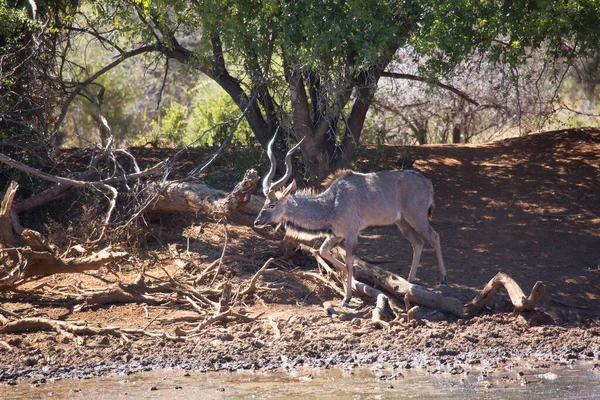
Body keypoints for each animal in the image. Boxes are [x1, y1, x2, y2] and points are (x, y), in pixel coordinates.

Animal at [253, 134, 446, 306]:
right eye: (265, 203)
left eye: (271, 205)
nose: (257, 222)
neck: (331, 203)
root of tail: (427, 183)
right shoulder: (336, 235)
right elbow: (324, 252)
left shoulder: (352, 233)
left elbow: (349, 261)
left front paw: (347, 298)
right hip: (402, 223)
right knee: (418, 242)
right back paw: (410, 281)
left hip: (417, 217)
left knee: (434, 237)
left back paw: (443, 280)